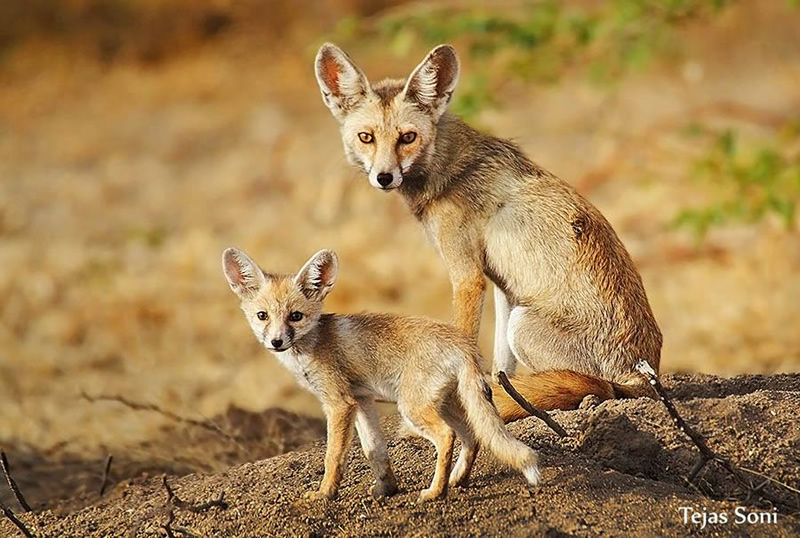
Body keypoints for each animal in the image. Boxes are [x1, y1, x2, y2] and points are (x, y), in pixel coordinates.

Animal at [222, 247, 540, 502]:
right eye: (262, 316)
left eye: (295, 317)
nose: (276, 342)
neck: (312, 345)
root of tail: (462, 342)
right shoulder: (362, 400)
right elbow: (374, 450)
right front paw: (387, 490)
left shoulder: (339, 404)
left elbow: (333, 457)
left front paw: (325, 494)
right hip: (447, 404)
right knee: (473, 438)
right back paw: (457, 480)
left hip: (412, 408)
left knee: (447, 436)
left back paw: (435, 492)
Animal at [312, 43, 664, 414]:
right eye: (366, 137)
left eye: (407, 137)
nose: (384, 177)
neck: (449, 171)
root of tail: (646, 377)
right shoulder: (501, 286)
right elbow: (500, 369)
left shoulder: (468, 276)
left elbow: (465, 344)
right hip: (517, 316)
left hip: (523, 325)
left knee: (592, 384)